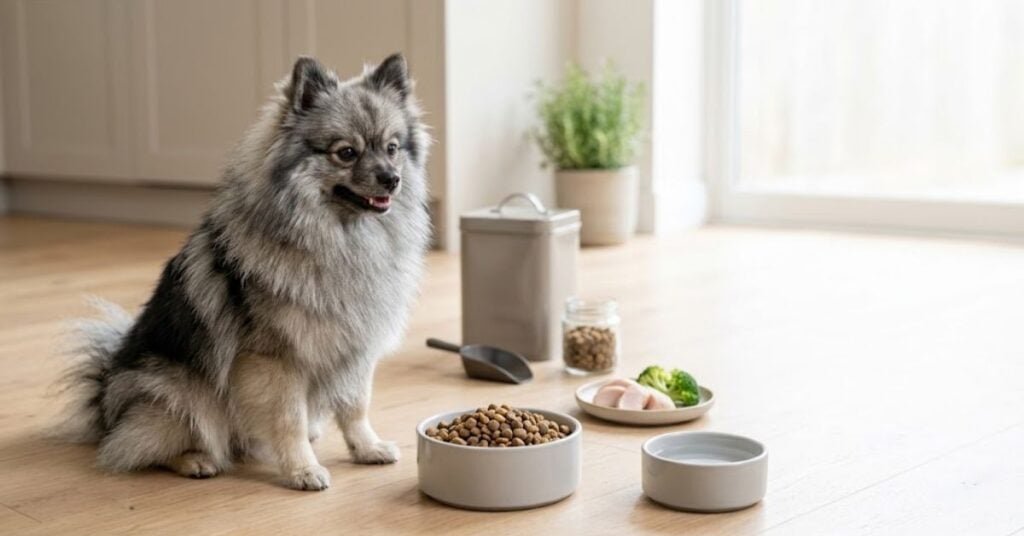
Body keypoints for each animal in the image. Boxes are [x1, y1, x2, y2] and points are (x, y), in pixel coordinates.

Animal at [55, 53, 431, 490]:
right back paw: (196, 460)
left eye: (392, 148)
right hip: (178, 393)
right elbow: (288, 419)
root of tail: (103, 400)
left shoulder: (356, 349)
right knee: (142, 445)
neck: (343, 239)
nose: (391, 178)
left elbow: (355, 407)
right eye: (347, 152)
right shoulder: (277, 360)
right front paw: (302, 470)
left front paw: (367, 448)